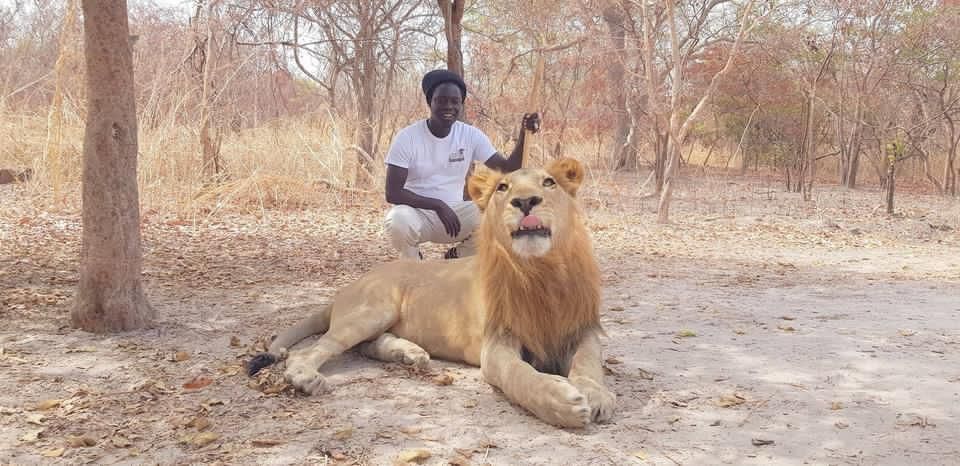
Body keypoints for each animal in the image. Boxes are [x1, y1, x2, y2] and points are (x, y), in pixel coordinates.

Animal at [247, 157, 615, 428]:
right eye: (503, 187)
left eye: (549, 183)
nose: (524, 202)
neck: (543, 272)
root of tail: (344, 289)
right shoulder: (497, 344)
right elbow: (520, 376)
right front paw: (562, 402)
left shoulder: (581, 329)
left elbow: (587, 362)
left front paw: (596, 394)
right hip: (374, 308)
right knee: (312, 351)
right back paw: (307, 377)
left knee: (366, 346)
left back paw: (409, 354)